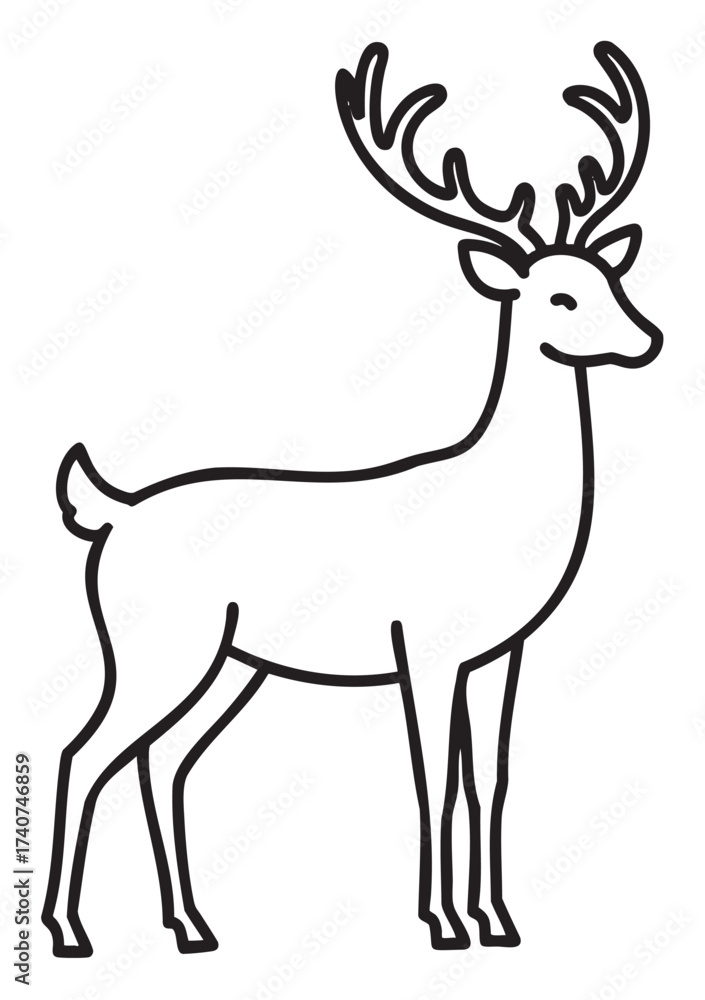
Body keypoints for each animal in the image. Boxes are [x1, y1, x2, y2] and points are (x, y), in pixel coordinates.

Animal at [42, 40, 662, 957]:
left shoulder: (502, 653)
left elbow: (491, 781)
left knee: (164, 761)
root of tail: (110, 512)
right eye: (557, 294)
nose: (648, 338)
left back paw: (193, 928)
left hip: (231, 666)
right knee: (85, 752)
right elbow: (433, 780)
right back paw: (68, 931)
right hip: (156, 649)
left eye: (606, 279)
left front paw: (498, 923)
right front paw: (444, 924)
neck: (498, 500)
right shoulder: (425, 648)